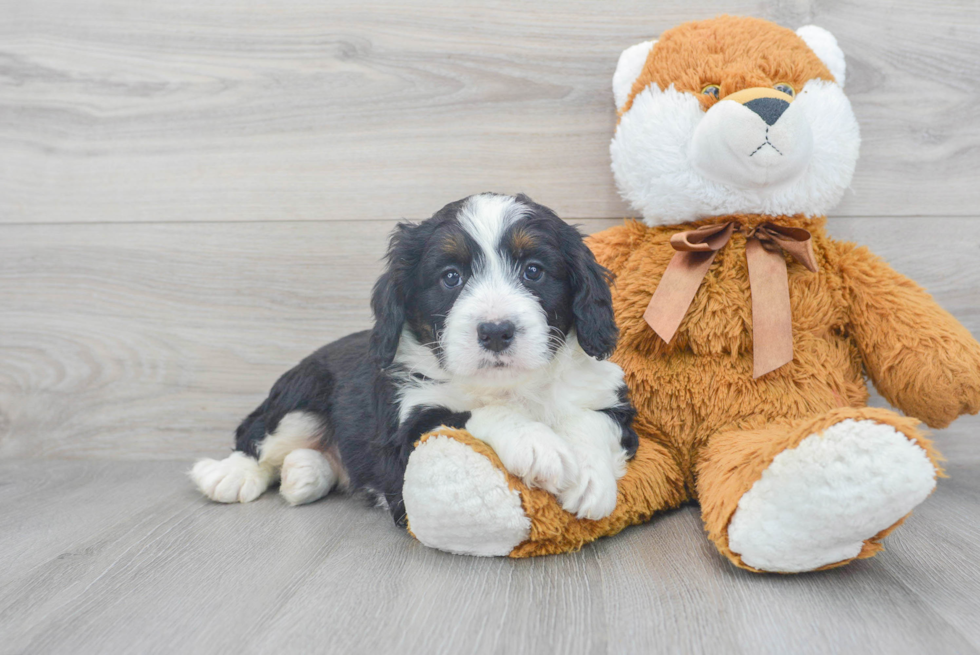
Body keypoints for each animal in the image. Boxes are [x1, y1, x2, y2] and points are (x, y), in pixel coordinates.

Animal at [190, 193, 636, 524]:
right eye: (451, 277)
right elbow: (472, 414)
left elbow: (592, 420)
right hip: (301, 395)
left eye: (533, 271)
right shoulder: (408, 435)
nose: (495, 331)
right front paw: (536, 444)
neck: (512, 385)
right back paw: (229, 475)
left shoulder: (609, 399)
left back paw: (305, 473)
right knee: (257, 437)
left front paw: (592, 479)